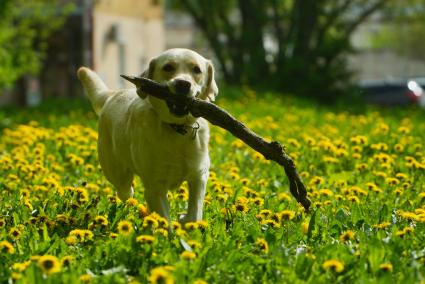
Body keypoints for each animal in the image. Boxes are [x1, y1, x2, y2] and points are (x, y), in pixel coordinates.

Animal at [76, 47, 217, 223]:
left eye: (196, 69)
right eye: (168, 67)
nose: (183, 84)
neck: (177, 129)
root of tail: (113, 94)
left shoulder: (199, 175)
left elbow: (194, 213)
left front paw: (185, 219)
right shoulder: (154, 187)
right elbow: (164, 221)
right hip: (118, 175)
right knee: (126, 192)